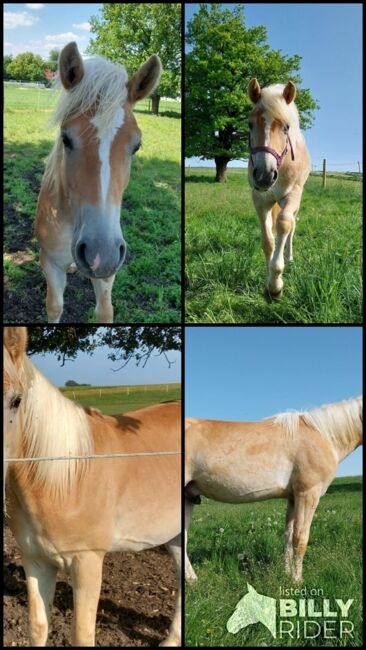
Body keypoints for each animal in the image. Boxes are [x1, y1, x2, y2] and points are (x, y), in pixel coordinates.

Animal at [2, 326, 180, 644]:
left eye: (16, 400)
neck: (65, 480)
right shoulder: (35, 561)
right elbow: (37, 626)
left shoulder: (87, 562)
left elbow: (81, 634)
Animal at [35, 41, 162, 320]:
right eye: (66, 138)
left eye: (136, 146)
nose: (99, 255)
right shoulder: (51, 263)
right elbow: (55, 306)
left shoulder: (109, 269)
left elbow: (105, 312)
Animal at [184, 394, 362, 584]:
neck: (324, 435)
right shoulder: (308, 494)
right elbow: (300, 538)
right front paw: (297, 580)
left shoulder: (293, 498)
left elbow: (288, 536)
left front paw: (286, 573)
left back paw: (192, 580)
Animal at [247, 78, 310, 296]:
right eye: (250, 124)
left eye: (286, 127)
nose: (264, 175)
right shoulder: (260, 200)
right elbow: (268, 240)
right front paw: (269, 281)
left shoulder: (292, 196)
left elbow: (284, 224)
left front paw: (276, 284)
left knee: (291, 226)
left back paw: (289, 257)